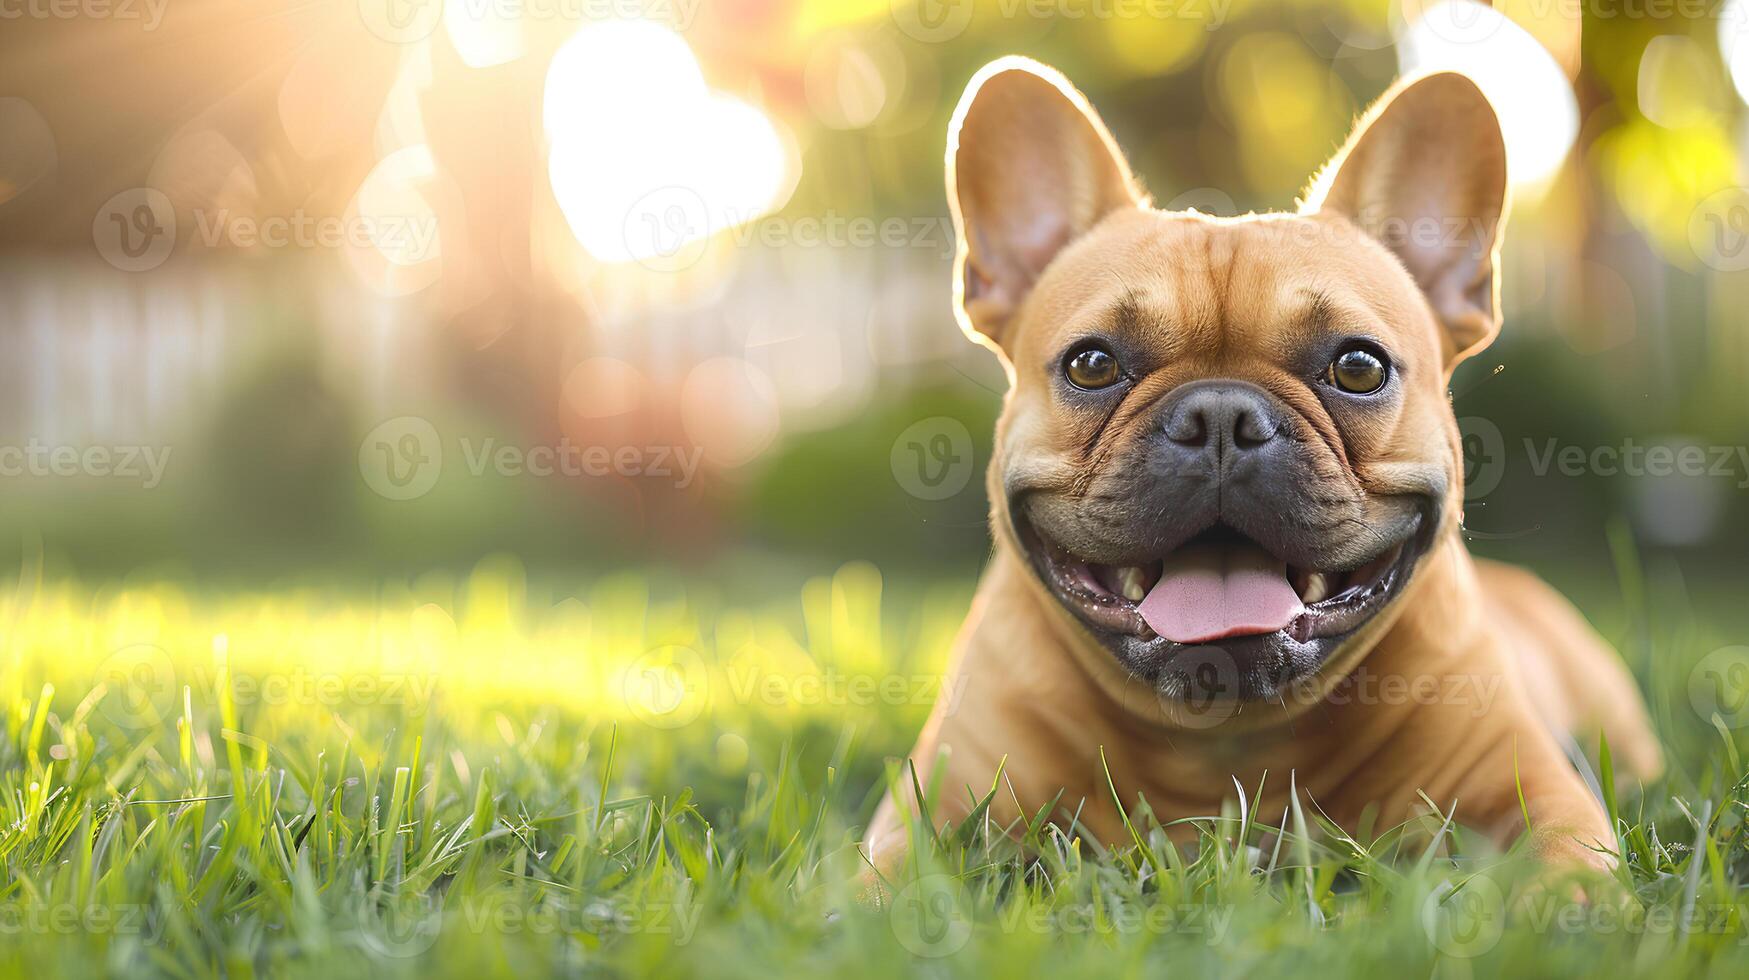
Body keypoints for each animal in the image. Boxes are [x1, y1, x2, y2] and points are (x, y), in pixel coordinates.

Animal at [867, 57, 1658, 875]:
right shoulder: (928, 814)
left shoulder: (1536, 794)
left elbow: (1568, 872)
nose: (1220, 417)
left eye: (1358, 367)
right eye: (1091, 364)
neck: (1222, 741)